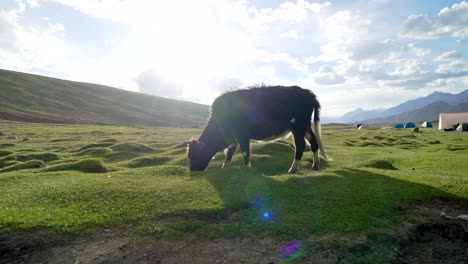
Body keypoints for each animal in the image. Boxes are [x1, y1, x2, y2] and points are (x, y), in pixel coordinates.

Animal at [186, 84, 330, 174]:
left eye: (195, 155)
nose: (193, 170)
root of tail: (307, 93)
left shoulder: (243, 135)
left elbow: (245, 152)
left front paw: (247, 168)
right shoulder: (234, 137)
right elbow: (230, 152)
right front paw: (225, 166)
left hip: (298, 126)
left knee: (300, 145)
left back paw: (292, 169)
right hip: (305, 126)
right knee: (314, 142)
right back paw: (315, 165)